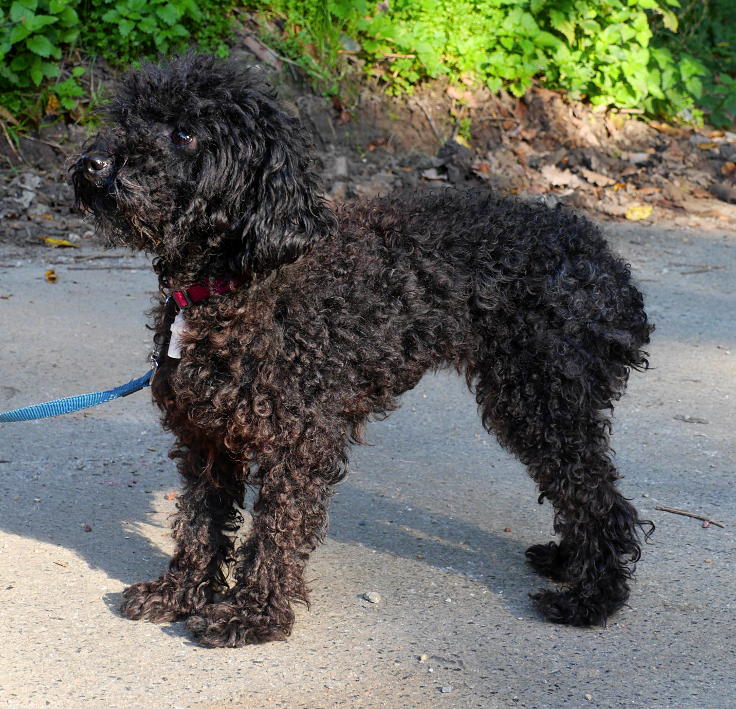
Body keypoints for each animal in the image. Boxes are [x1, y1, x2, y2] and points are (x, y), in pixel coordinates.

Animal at [72, 55, 652, 648]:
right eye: (127, 118)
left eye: (185, 133)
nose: (93, 164)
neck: (234, 279)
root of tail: (605, 261)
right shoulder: (207, 438)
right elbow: (199, 524)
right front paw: (180, 594)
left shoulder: (298, 441)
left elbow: (277, 529)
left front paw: (251, 615)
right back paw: (568, 562)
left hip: (543, 402)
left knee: (599, 498)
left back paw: (591, 596)